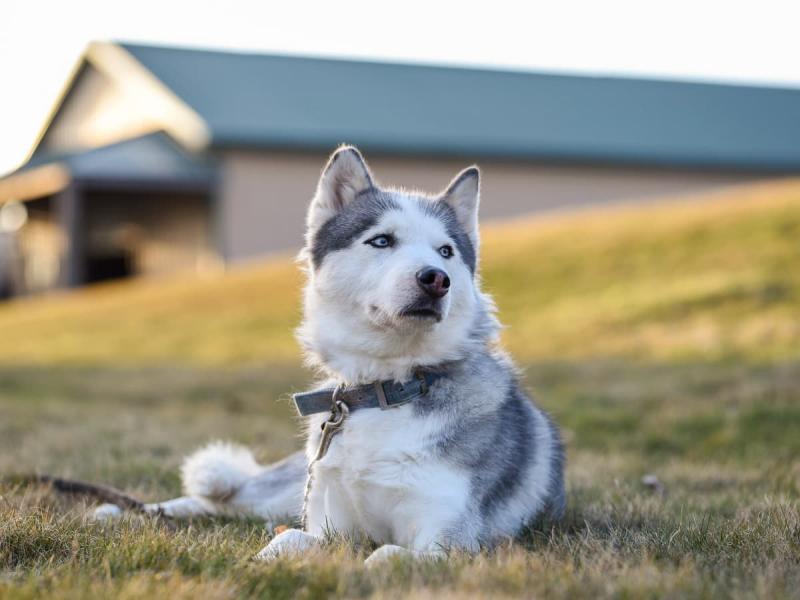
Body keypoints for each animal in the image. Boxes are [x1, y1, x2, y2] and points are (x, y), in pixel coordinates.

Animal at [97, 148, 564, 564]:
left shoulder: (451, 542)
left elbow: (384, 556)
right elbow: (285, 541)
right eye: (382, 240)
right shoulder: (327, 523)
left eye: (446, 251)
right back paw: (122, 512)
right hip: (284, 491)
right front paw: (261, 560)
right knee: (223, 500)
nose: (436, 279)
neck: (384, 390)